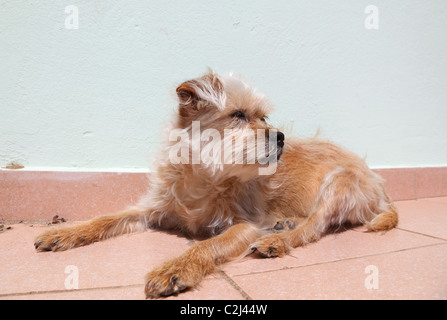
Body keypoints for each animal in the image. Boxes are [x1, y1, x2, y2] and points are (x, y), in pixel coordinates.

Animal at [35, 71, 400, 298]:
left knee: (314, 227)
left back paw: (278, 240)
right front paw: (64, 232)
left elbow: (206, 245)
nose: (280, 136)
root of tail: (381, 189)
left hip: (339, 183)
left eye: (264, 118)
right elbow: (105, 219)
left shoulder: (246, 225)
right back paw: (284, 223)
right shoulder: (150, 209)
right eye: (238, 115)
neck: (206, 178)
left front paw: (176, 268)